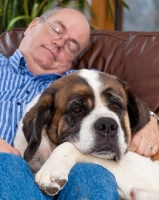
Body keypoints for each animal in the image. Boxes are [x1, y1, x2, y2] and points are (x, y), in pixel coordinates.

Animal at [13, 69, 159, 200]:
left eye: (116, 106)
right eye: (77, 109)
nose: (107, 125)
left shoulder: (149, 178)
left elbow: (68, 147)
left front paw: (52, 169)